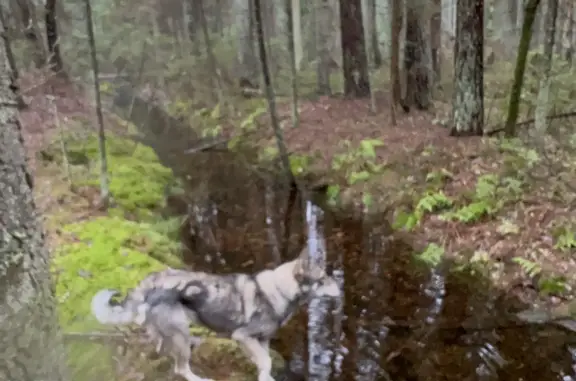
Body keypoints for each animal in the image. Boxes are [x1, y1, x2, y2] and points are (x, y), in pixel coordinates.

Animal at [90, 246, 340, 380]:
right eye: (322, 279)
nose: (339, 286)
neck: (279, 290)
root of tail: (153, 279)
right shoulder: (243, 336)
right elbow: (266, 361)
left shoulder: (262, 340)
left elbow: (264, 363)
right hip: (182, 333)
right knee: (181, 369)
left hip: (169, 332)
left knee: (161, 347)